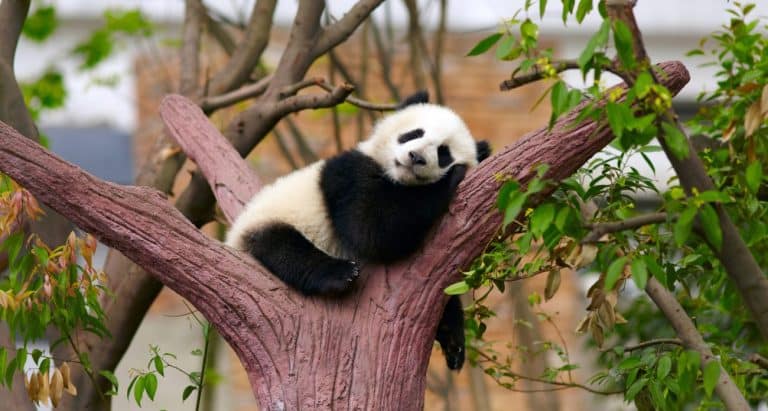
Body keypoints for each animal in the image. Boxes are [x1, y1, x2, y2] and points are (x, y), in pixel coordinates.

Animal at [226, 92, 490, 370]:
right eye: (414, 133)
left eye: (443, 152)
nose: (416, 157)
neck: (397, 178)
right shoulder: (347, 174)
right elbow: (371, 229)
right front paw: (452, 177)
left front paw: (453, 338)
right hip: (271, 220)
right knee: (285, 248)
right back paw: (339, 274)